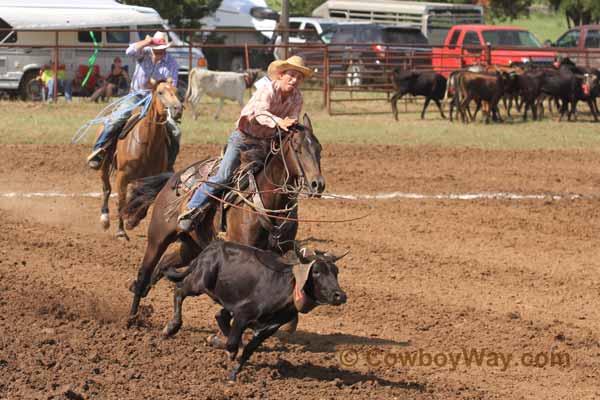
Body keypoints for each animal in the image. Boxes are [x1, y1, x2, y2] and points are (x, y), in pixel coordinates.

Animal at [98, 79, 182, 239]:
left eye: (176, 90)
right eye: (160, 92)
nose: (177, 109)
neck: (147, 144)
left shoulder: (153, 178)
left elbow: (146, 201)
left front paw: (132, 222)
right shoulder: (122, 175)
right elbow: (121, 201)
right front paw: (121, 231)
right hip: (104, 166)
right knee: (106, 189)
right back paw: (104, 219)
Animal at [122, 114, 326, 320]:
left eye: (319, 149)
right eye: (298, 149)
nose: (318, 184)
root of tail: (174, 178)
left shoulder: (282, 250)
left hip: (191, 246)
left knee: (163, 265)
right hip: (158, 238)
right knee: (144, 272)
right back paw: (132, 317)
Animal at [161, 241, 346, 382]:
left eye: (336, 272)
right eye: (316, 271)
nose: (340, 295)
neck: (285, 288)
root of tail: (212, 247)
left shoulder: (270, 328)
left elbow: (248, 350)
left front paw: (234, 373)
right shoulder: (243, 314)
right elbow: (233, 343)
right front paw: (230, 353)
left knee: (220, 315)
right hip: (199, 282)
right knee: (179, 291)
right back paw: (171, 328)